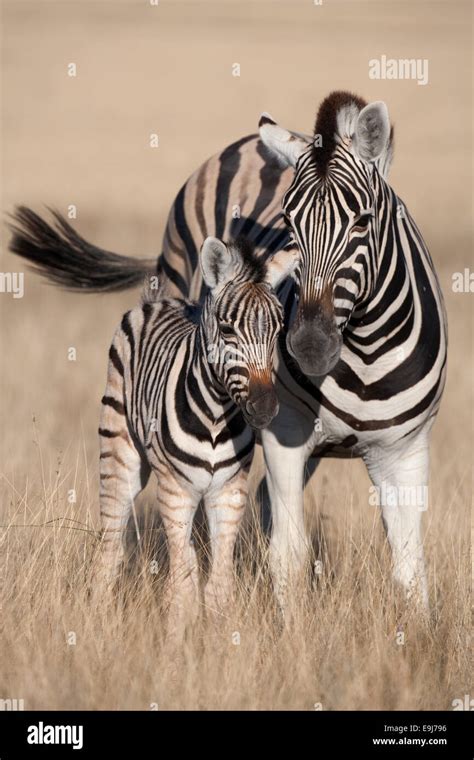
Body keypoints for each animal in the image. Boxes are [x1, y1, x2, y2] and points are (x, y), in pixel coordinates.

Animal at [96, 238, 296, 624]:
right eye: (228, 329)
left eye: (279, 331)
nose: (265, 407)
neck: (216, 416)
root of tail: (160, 300)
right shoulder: (175, 490)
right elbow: (180, 590)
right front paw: (176, 639)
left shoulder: (229, 491)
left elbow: (218, 587)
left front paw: (220, 637)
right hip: (120, 453)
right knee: (111, 544)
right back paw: (98, 614)